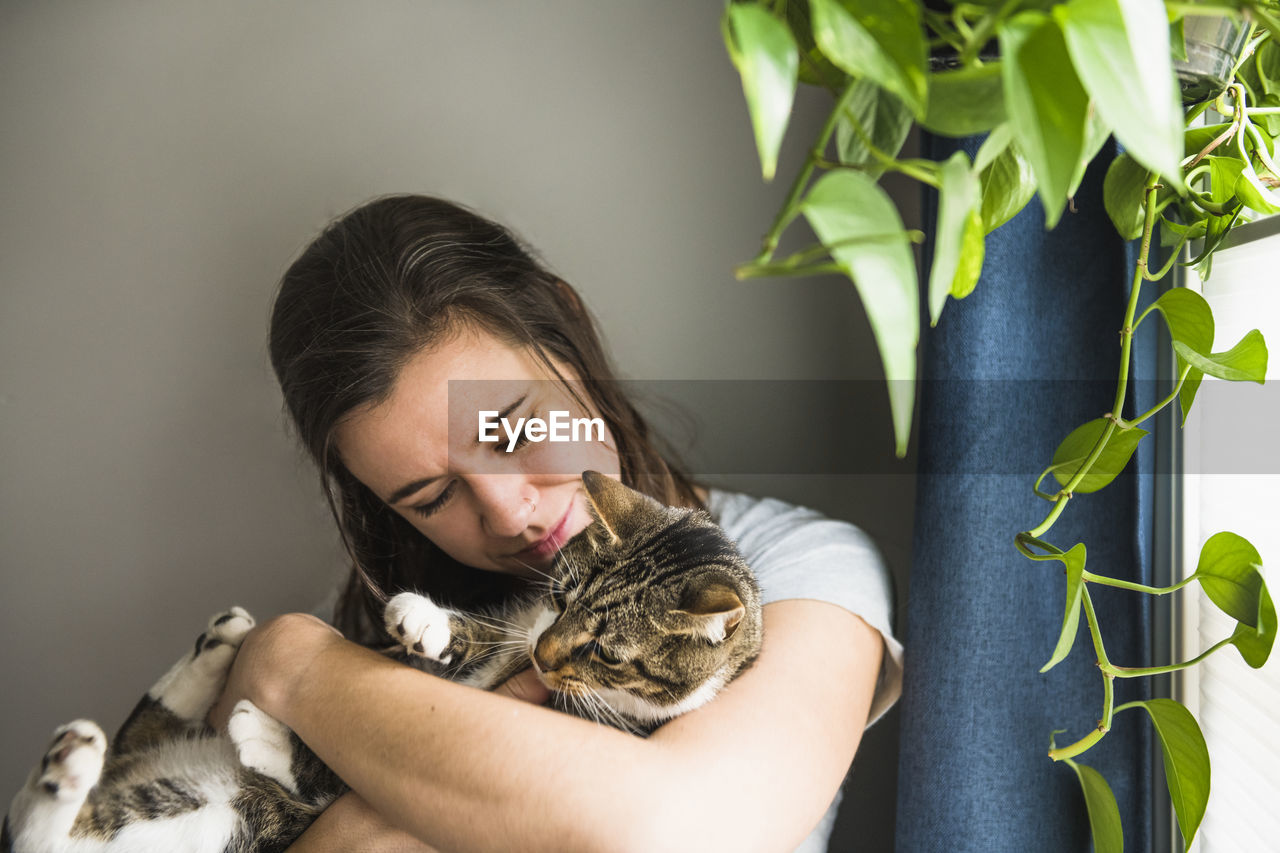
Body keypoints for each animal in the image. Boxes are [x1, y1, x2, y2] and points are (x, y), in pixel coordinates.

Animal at [2, 471, 757, 850]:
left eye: (604, 650)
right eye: (561, 594)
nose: (545, 657)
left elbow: (332, 773)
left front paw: (266, 732)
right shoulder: (517, 631)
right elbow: (473, 636)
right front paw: (426, 621)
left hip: (218, 823)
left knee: (49, 837)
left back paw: (69, 764)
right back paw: (212, 648)